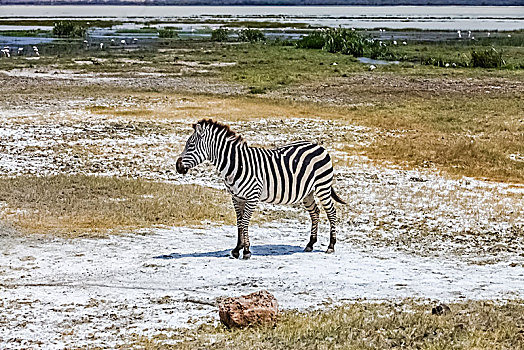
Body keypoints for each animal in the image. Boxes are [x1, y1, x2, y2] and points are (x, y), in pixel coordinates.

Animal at [178, 120, 346, 260]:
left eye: (190, 146)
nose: (177, 166)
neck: (236, 164)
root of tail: (319, 146)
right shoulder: (236, 197)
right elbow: (239, 222)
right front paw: (237, 249)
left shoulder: (252, 196)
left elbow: (245, 222)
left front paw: (246, 251)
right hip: (308, 192)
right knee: (315, 212)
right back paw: (310, 244)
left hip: (322, 186)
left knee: (331, 212)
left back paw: (331, 246)